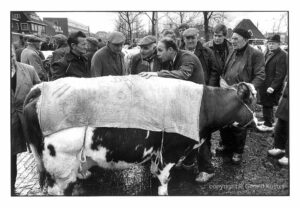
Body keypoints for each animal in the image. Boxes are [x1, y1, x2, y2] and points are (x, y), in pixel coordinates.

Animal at [23, 77, 256, 196]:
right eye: (251, 99)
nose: (257, 122)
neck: (202, 106)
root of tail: (41, 88)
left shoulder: (159, 152)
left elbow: (156, 171)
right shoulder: (170, 151)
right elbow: (164, 179)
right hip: (61, 165)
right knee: (58, 189)